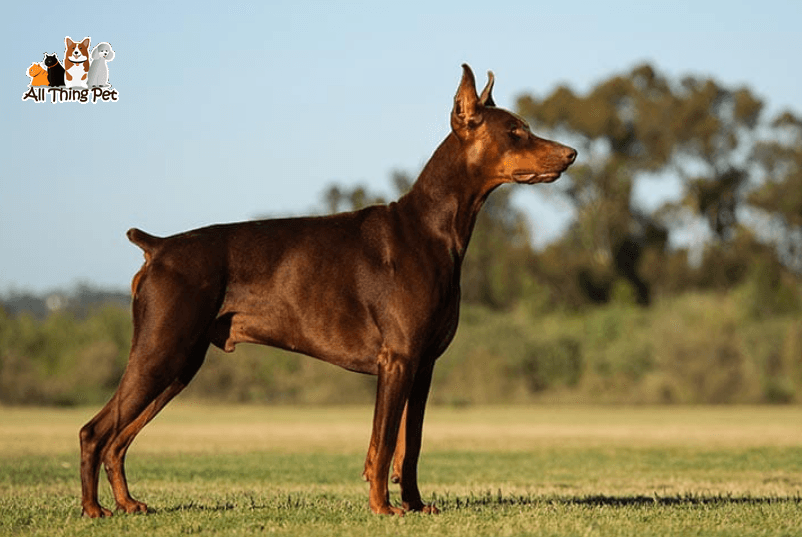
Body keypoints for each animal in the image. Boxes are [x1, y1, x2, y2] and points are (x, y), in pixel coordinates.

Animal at [78, 65, 572, 516]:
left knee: (119, 439)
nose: (571, 154)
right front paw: (383, 509)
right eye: (515, 132)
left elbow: (409, 446)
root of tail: (158, 246)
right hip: (160, 351)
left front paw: (414, 505)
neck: (432, 228)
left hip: (181, 364)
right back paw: (93, 509)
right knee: (95, 431)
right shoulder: (397, 359)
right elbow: (384, 443)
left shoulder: (423, 365)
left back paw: (127, 503)